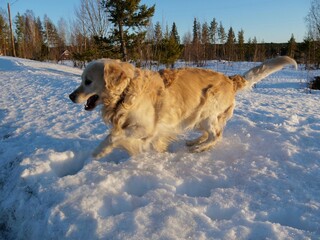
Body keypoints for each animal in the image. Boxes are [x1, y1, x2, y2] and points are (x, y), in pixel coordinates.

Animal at [69, 55, 298, 158]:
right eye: (81, 79)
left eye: (88, 81)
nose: (71, 96)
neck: (126, 92)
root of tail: (230, 79)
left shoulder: (146, 127)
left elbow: (113, 136)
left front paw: (98, 152)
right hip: (197, 116)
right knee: (211, 133)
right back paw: (195, 142)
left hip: (207, 110)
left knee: (217, 135)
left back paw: (199, 148)